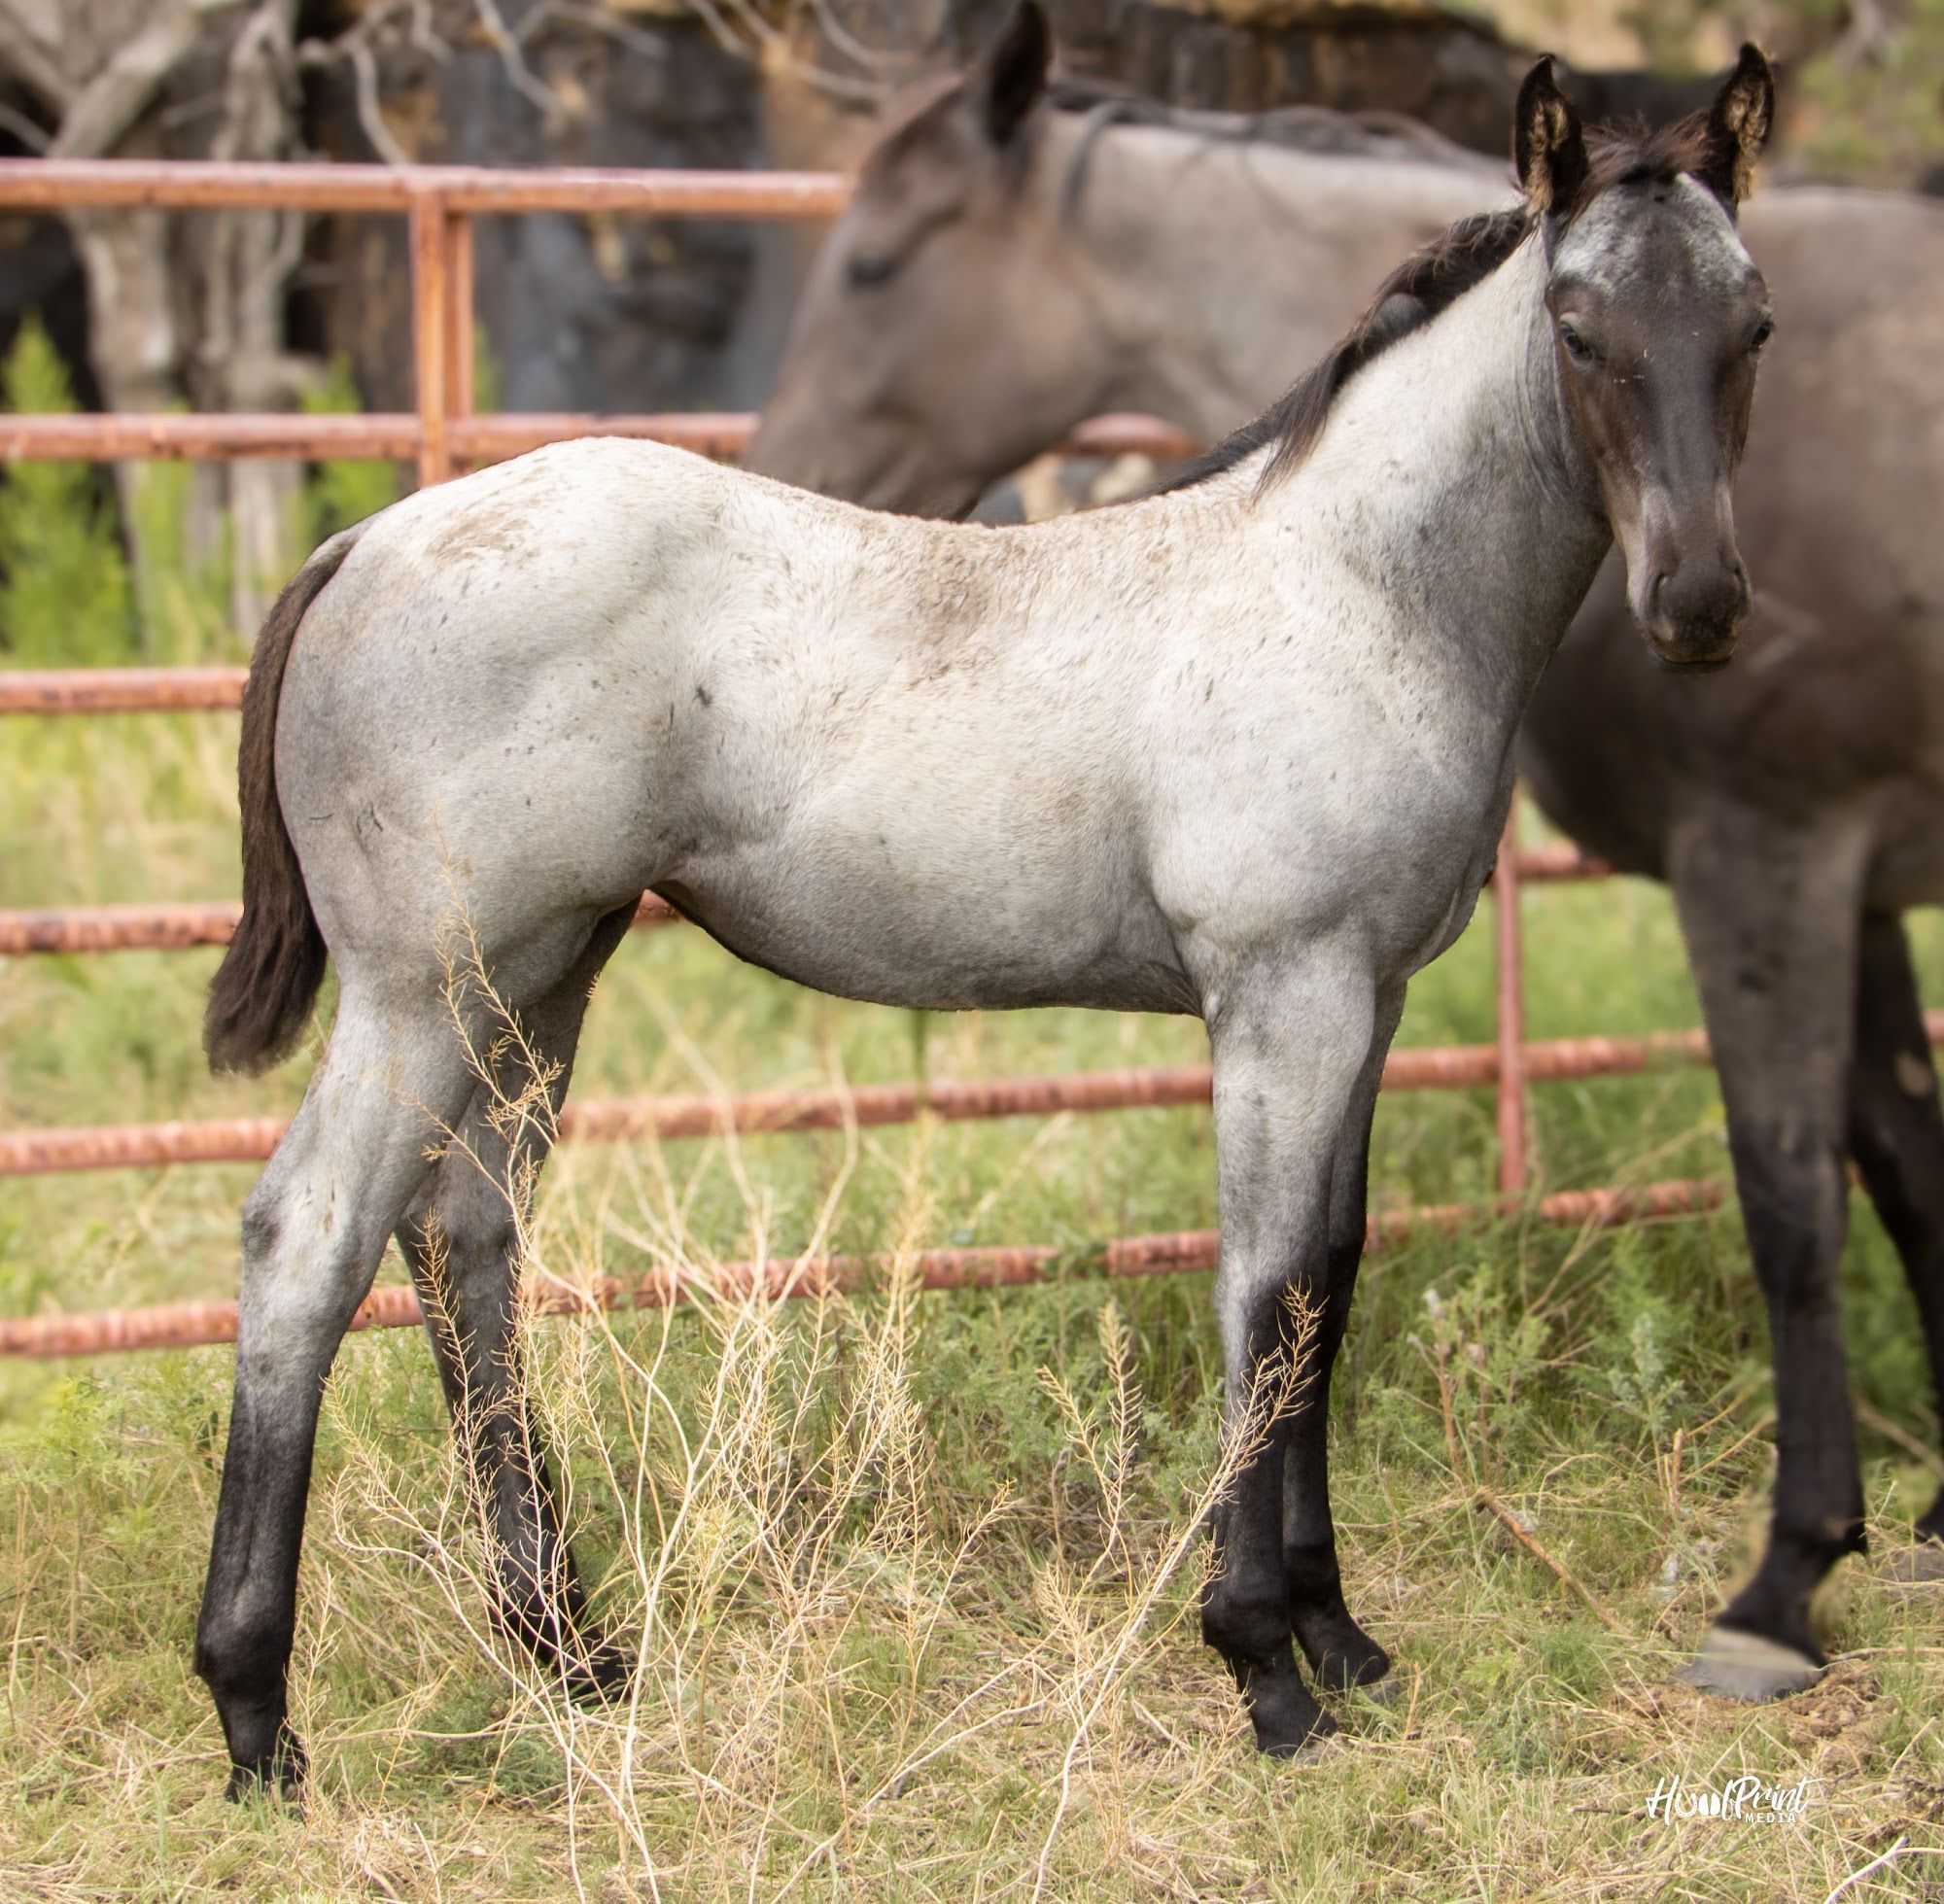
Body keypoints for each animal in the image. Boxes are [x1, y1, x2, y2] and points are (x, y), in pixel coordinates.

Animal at [193, 35, 1775, 1792]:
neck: (1355, 583)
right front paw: (1264, 1668)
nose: (1701, 601)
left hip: (538, 978)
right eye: (1581, 327)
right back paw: (257, 1714)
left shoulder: (1368, 1000)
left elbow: (1327, 1283)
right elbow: (1263, 1291)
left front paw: (1342, 1641)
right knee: (307, 1239)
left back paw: (572, 1651)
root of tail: (360, 542)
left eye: (1754, 322)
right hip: (419, 990)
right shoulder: (1282, 994)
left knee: (463, 1232)